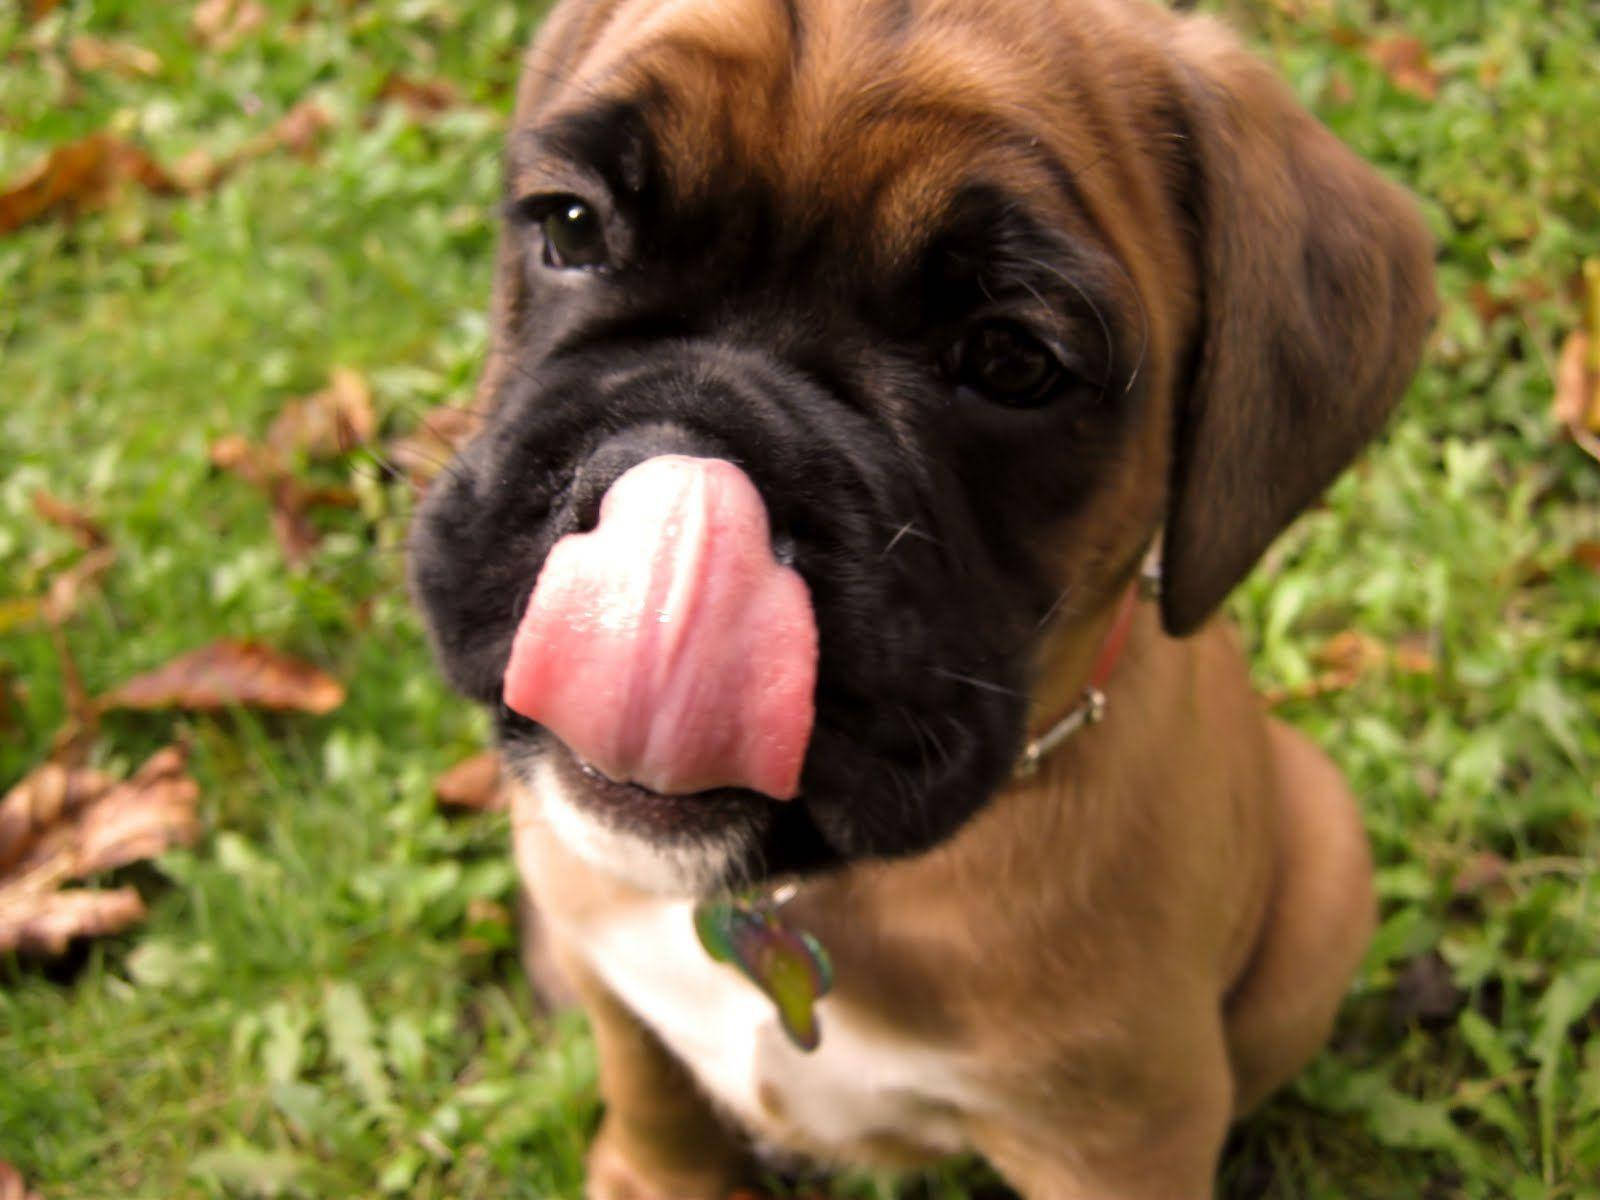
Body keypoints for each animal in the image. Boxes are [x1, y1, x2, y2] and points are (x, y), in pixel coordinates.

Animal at [406, 2, 1433, 1196]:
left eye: (1012, 361)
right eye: (570, 228)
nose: (684, 448)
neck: (797, 894)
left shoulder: (1118, 1144)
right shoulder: (616, 979)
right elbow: (651, 1092)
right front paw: (652, 1174)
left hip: (1326, 857)